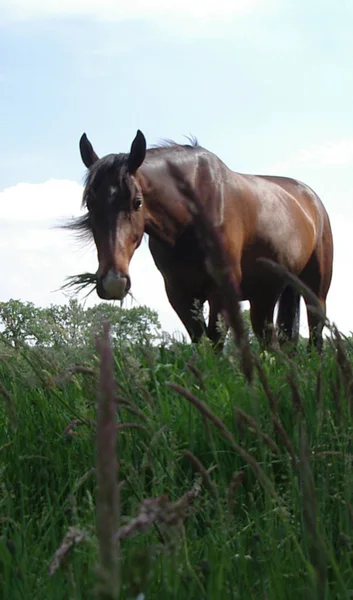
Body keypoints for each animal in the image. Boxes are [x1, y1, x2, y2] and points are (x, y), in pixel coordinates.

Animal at [69, 128, 332, 350]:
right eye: (90, 204)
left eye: (137, 202)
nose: (114, 282)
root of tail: (310, 199)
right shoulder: (179, 293)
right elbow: (198, 338)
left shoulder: (222, 290)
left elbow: (215, 339)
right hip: (265, 294)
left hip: (314, 291)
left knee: (315, 334)